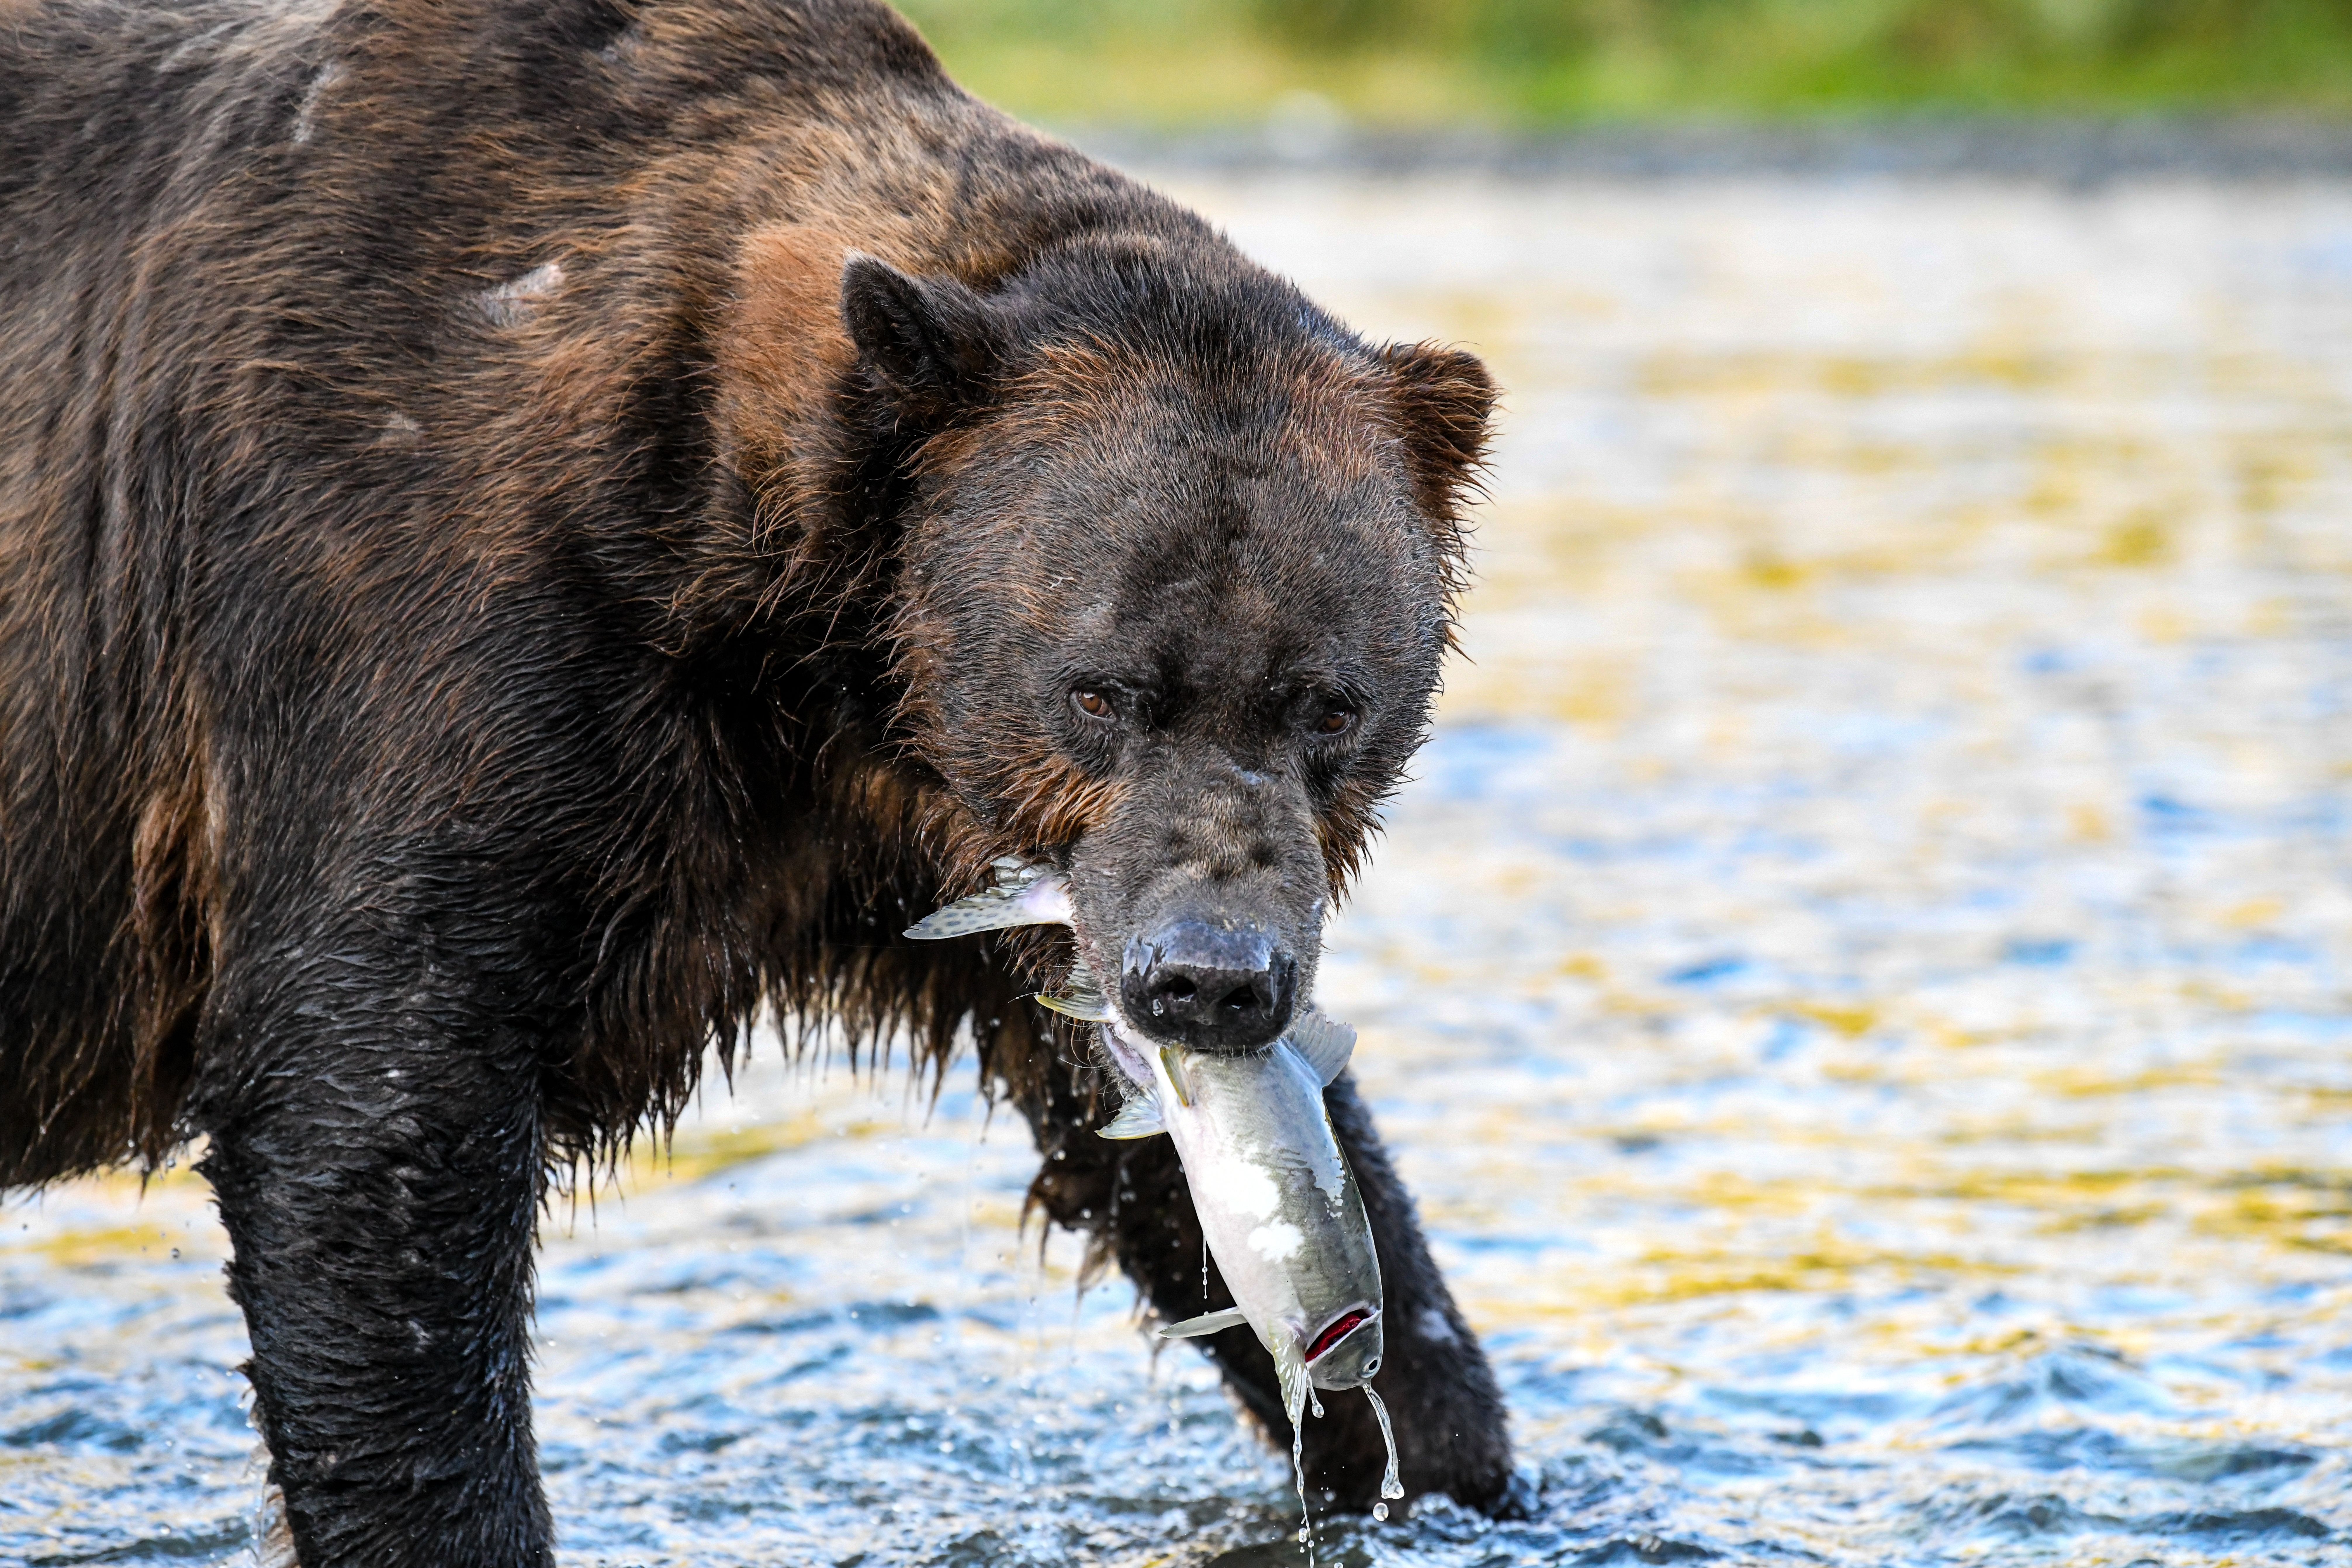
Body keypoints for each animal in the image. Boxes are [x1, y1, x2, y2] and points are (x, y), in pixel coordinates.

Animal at [0, 0, 1512, 1561]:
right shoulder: (406, 626)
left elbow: (1145, 1145)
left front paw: (1445, 1450)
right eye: (1099, 689)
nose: (1210, 979)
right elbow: (370, 1124)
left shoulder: (931, 836)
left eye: (1329, 703)